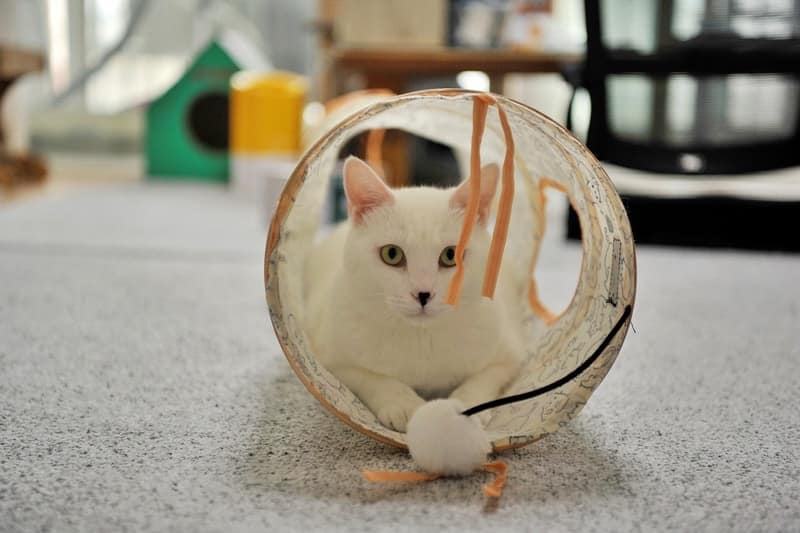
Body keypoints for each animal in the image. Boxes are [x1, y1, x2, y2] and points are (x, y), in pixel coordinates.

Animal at [302, 156, 524, 430]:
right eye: (391, 254)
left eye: (451, 255)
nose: (423, 293)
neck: (422, 338)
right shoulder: (330, 358)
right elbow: (373, 378)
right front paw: (405, 405)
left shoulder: (510, 356)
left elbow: (483, 378)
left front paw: (465, 407)